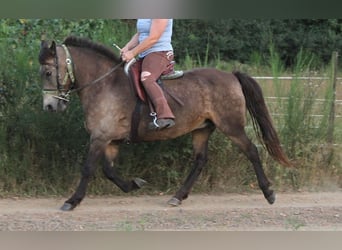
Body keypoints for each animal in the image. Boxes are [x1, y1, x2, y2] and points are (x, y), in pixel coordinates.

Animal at [39, 35, 292, 211]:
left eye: (48, 72)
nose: (49, 107)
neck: (104, 84)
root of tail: (231, 75)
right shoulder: (111, 140)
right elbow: (108, 170)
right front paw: (135, 184)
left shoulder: (100, 137)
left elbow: (88, 168)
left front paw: (72, 201)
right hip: (202, 129)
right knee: (200, 161)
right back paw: (177, 197)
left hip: (232, 127)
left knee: (251, 151)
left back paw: (268, 193)